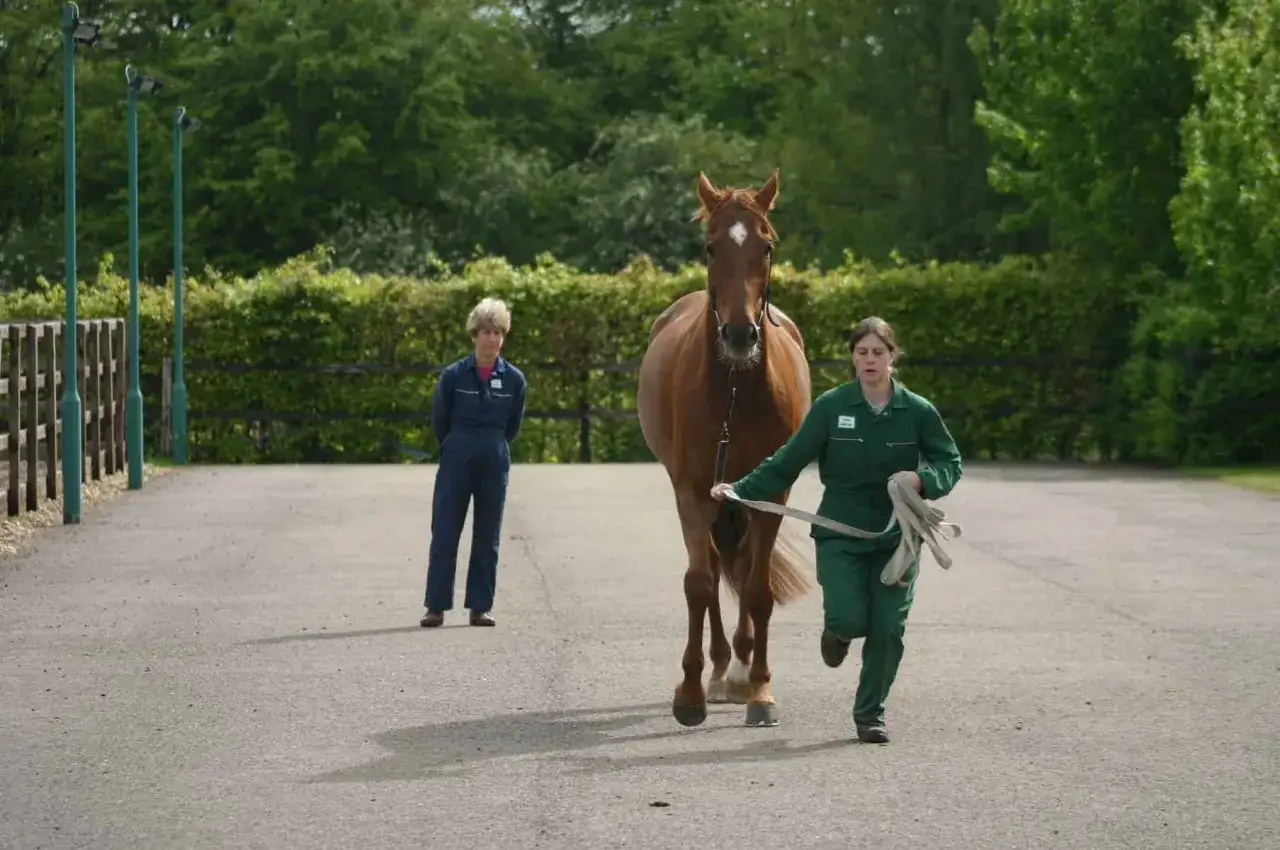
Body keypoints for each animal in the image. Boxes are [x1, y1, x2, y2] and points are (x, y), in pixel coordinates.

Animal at [636, 168, 814, 728]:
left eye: (767, 246)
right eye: (711, 247)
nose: (739, 335)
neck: (737, 389)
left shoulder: (771, 495)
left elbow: (758, 591)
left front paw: (759, 689)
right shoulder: (694, 491)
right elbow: (699, 582)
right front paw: (691, 691)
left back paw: (736, 671)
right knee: (713, 568)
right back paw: (716, 670)